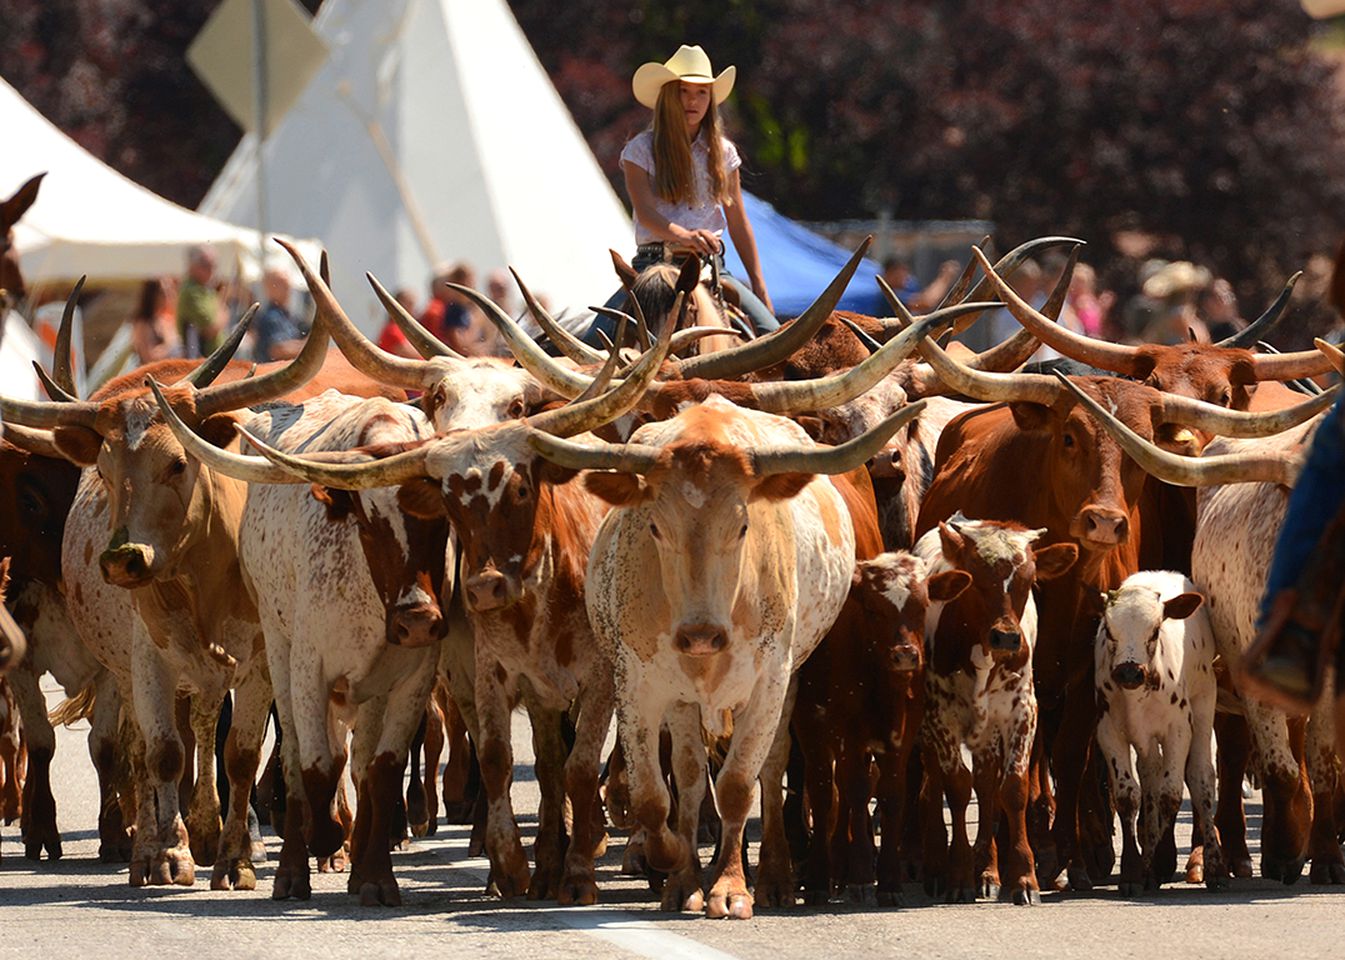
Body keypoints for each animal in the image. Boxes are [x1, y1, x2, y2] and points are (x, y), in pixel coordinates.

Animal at [909, 513, 1076, 903]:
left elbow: (1010, 788)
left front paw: (1023, 877)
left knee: (986, 787)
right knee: (933, 784)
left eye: (1029, 580)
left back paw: (988, 869)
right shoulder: (941, 718)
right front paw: (958, 874)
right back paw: (937, 864)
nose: (1007, 638)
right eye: (973, 578)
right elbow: (957, 787)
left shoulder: (1021, 713)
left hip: (987, 730)